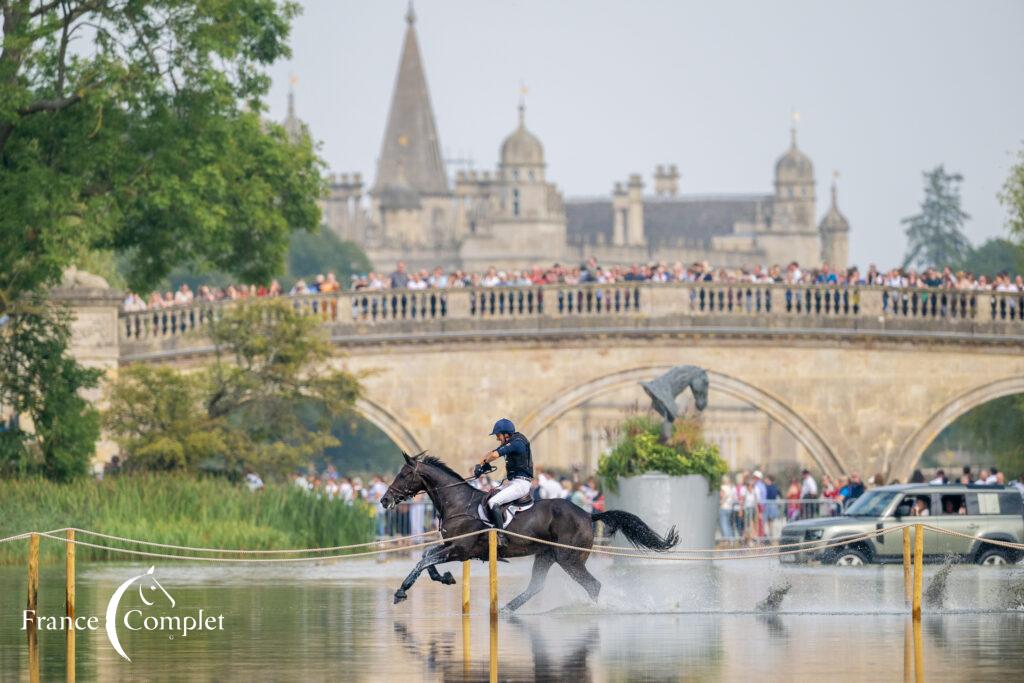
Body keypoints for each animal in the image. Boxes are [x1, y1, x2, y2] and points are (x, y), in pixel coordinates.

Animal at [378, 454, 679, 610]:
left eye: (403, 475)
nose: (384, 500)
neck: (458, 503)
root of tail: (587, 514)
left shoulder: (460, 549)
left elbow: (424, 560)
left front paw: (401, 591)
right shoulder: (453, 548)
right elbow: (426, 557)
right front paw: (446, 578)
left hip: (568, 559)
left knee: (592, 585)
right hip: (545, 555)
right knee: (536, 586)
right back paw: (505, 610)